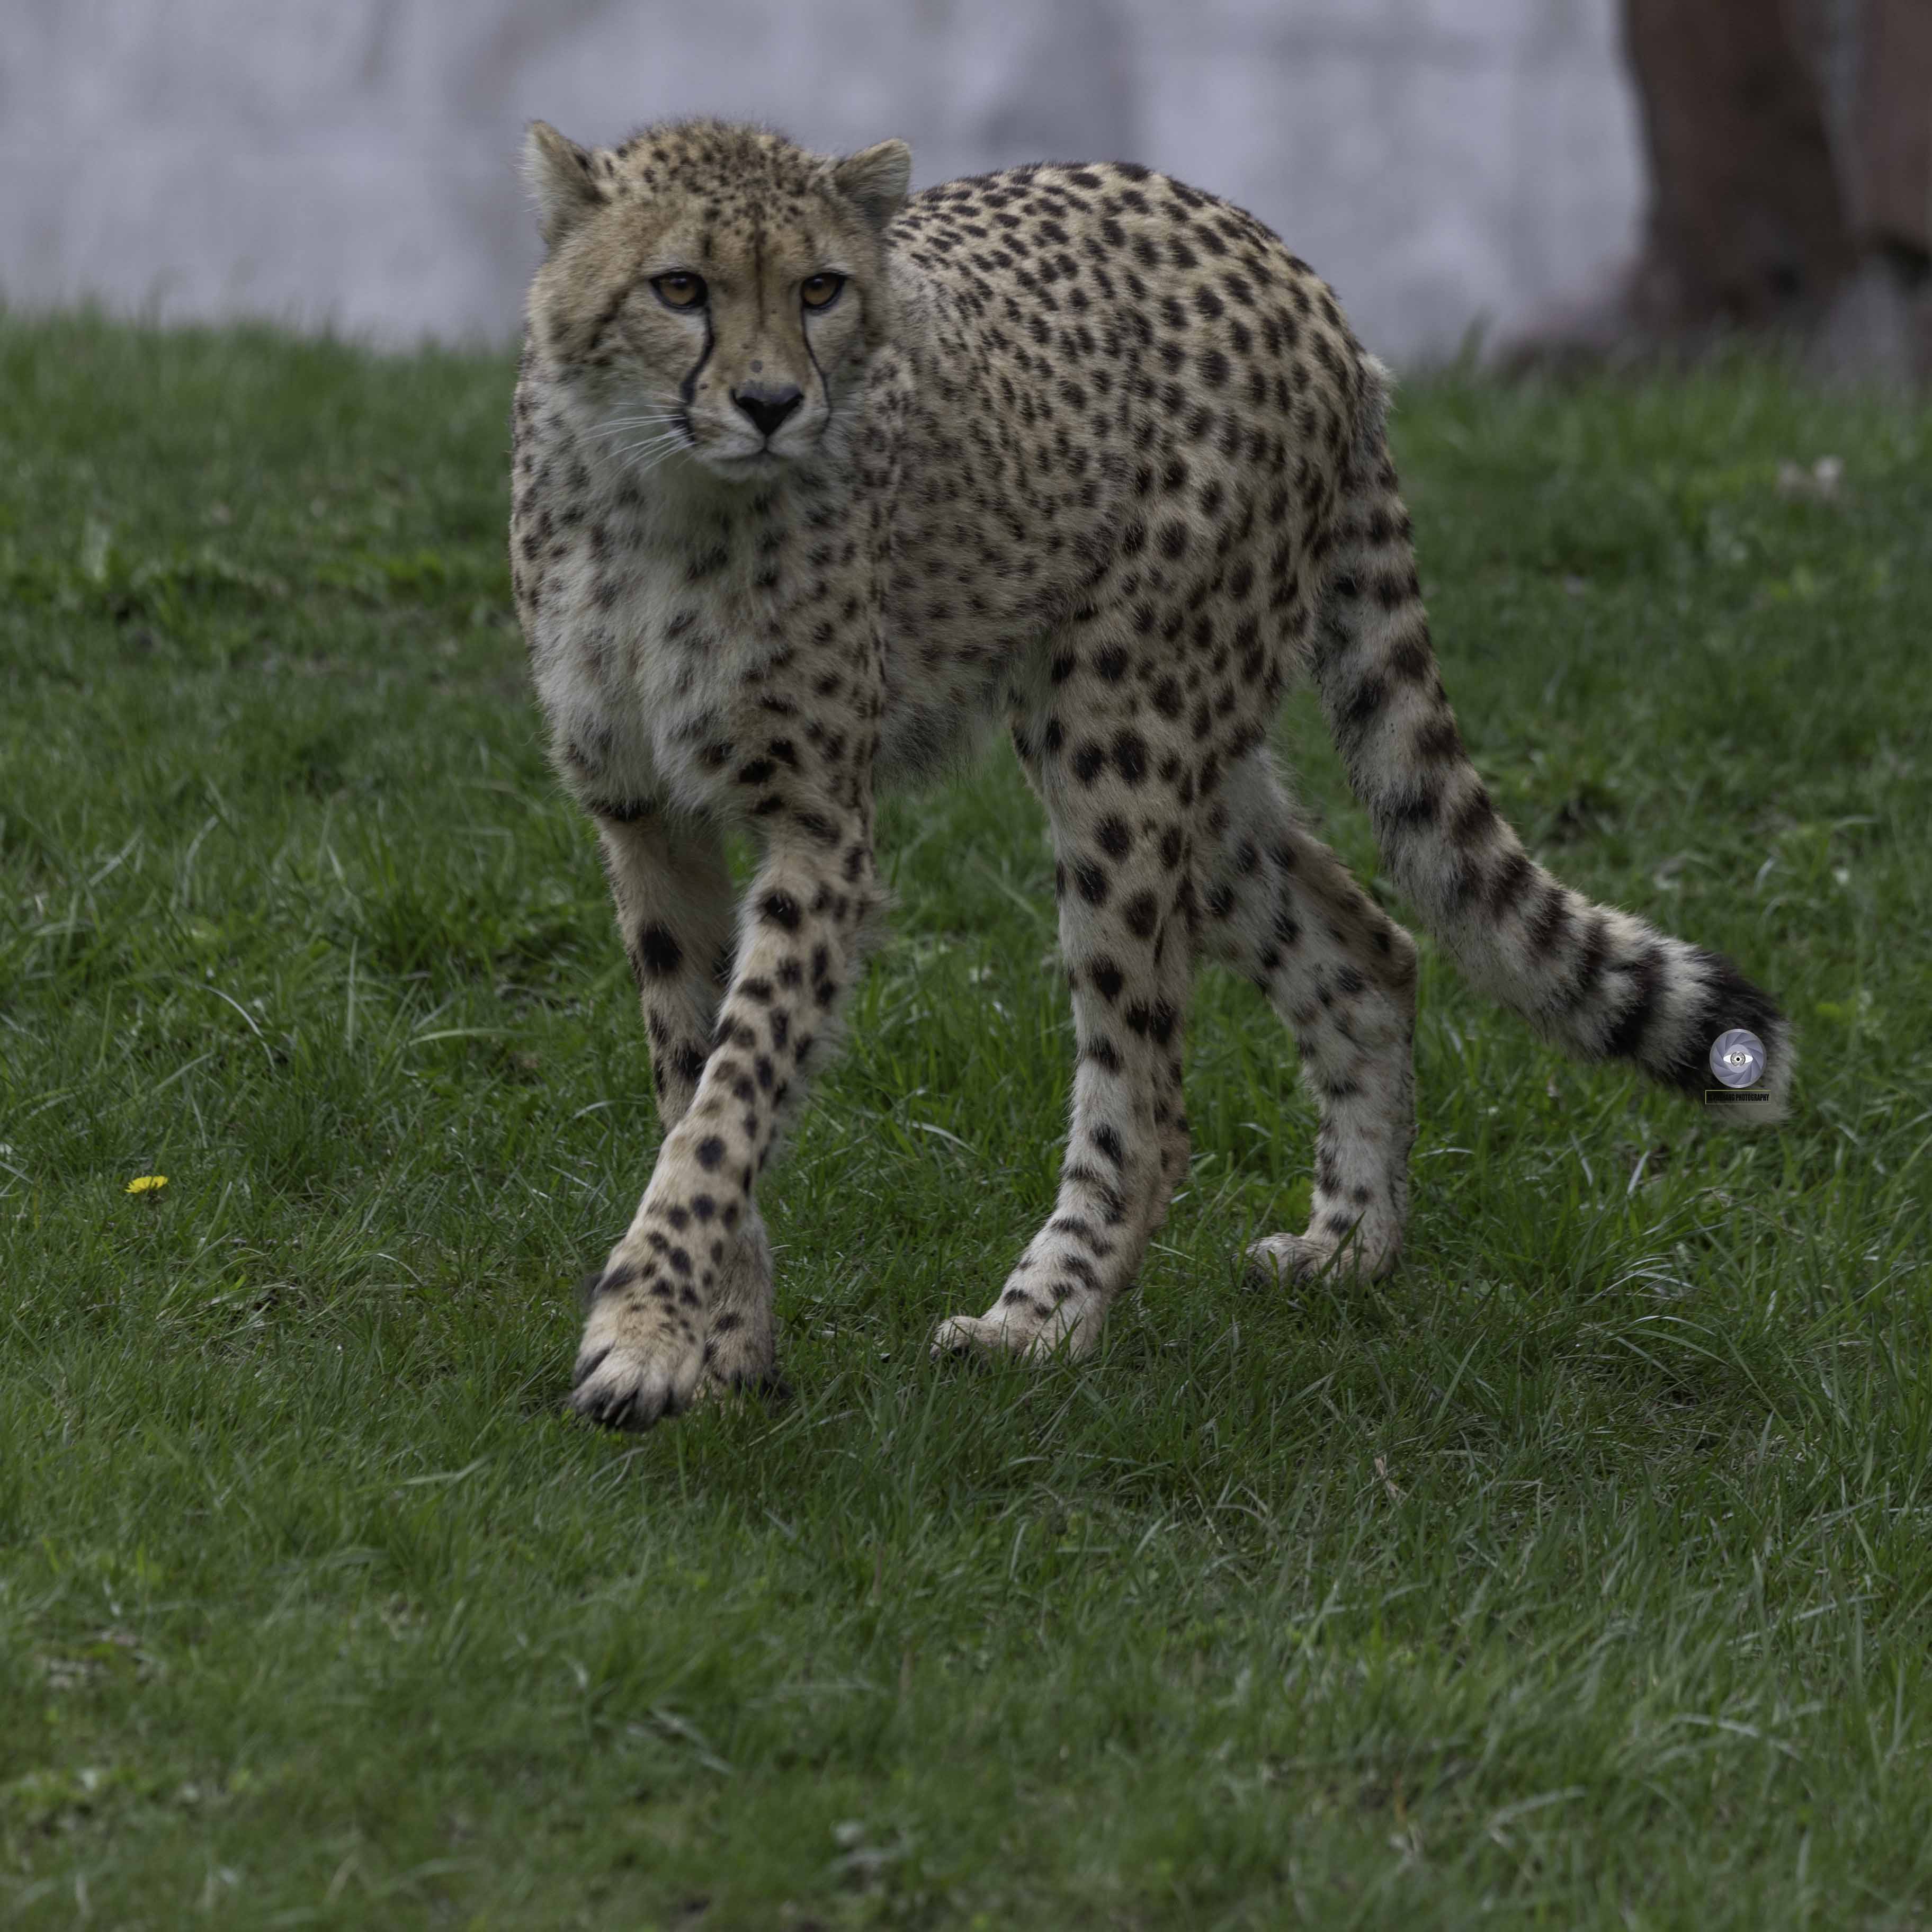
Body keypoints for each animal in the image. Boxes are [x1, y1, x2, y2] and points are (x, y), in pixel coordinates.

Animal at [508, 117, 1792, 1431]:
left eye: (820, 290)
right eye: (680, 289)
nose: (771, 405)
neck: (669, 503)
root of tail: (1289, 267)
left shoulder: (821, 832)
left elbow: (736, 1091)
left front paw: (647, 1325)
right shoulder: (645, 820)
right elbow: (695, 1080)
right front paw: (717, 1344)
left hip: (1116, 736)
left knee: (1151, 1092)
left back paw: (1044, 1320)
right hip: (1185, 762)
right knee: (1369, 948)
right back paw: (1351, 1247)